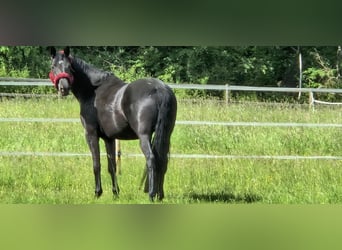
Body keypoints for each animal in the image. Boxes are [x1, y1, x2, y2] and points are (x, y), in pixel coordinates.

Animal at [49, 47, 178, 201]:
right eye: (53, 66)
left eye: (69, 67)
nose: (64, 88)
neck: (93, 91)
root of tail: (160, 89)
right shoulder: (109, 138)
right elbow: (112, 167)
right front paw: (116, 193)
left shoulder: (91, 134)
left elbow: (96, 164)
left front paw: (97, 193)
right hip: (166, 134)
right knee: (163, 160)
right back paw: (160, 195)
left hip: (144, 136)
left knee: (151, 159)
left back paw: (152, 195)